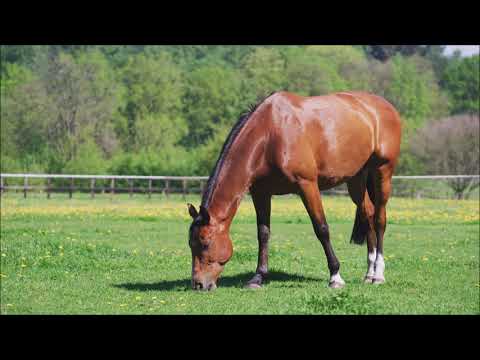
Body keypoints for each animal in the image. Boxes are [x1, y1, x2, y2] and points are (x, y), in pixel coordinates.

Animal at [188, 90, 402, 290]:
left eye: (205, 243)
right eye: (191, 244)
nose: (199, 284)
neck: (270, 135)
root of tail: (384, 106)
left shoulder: (307, 185)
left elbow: (321, 228)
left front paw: (335, 276)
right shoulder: (261, 193)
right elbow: (263, 233)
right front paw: (258, 277)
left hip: (383, 171)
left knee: (379, 219)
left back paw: (378, 275)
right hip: (356, 179)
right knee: (368, 216)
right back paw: (369, 273)